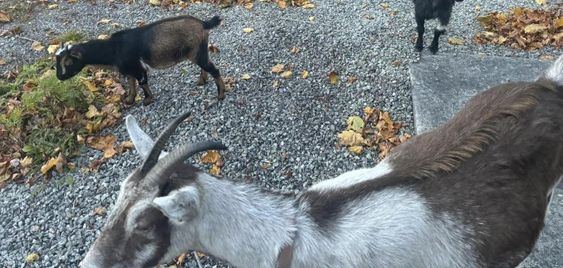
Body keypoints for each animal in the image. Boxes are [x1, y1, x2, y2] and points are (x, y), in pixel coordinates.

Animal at [55, 14, 226, 104]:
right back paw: (202, 81)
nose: (59, 77)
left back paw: (220, 95)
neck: (113, 49)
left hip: (197, 52)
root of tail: (203, 24)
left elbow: (142, 83)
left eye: (68, 63)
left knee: (214, 69)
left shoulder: (137, 68)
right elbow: (132, 84)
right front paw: (129, 100)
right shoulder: (128, 70)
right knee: (206, 67)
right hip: (198, 52)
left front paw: (148, 100)